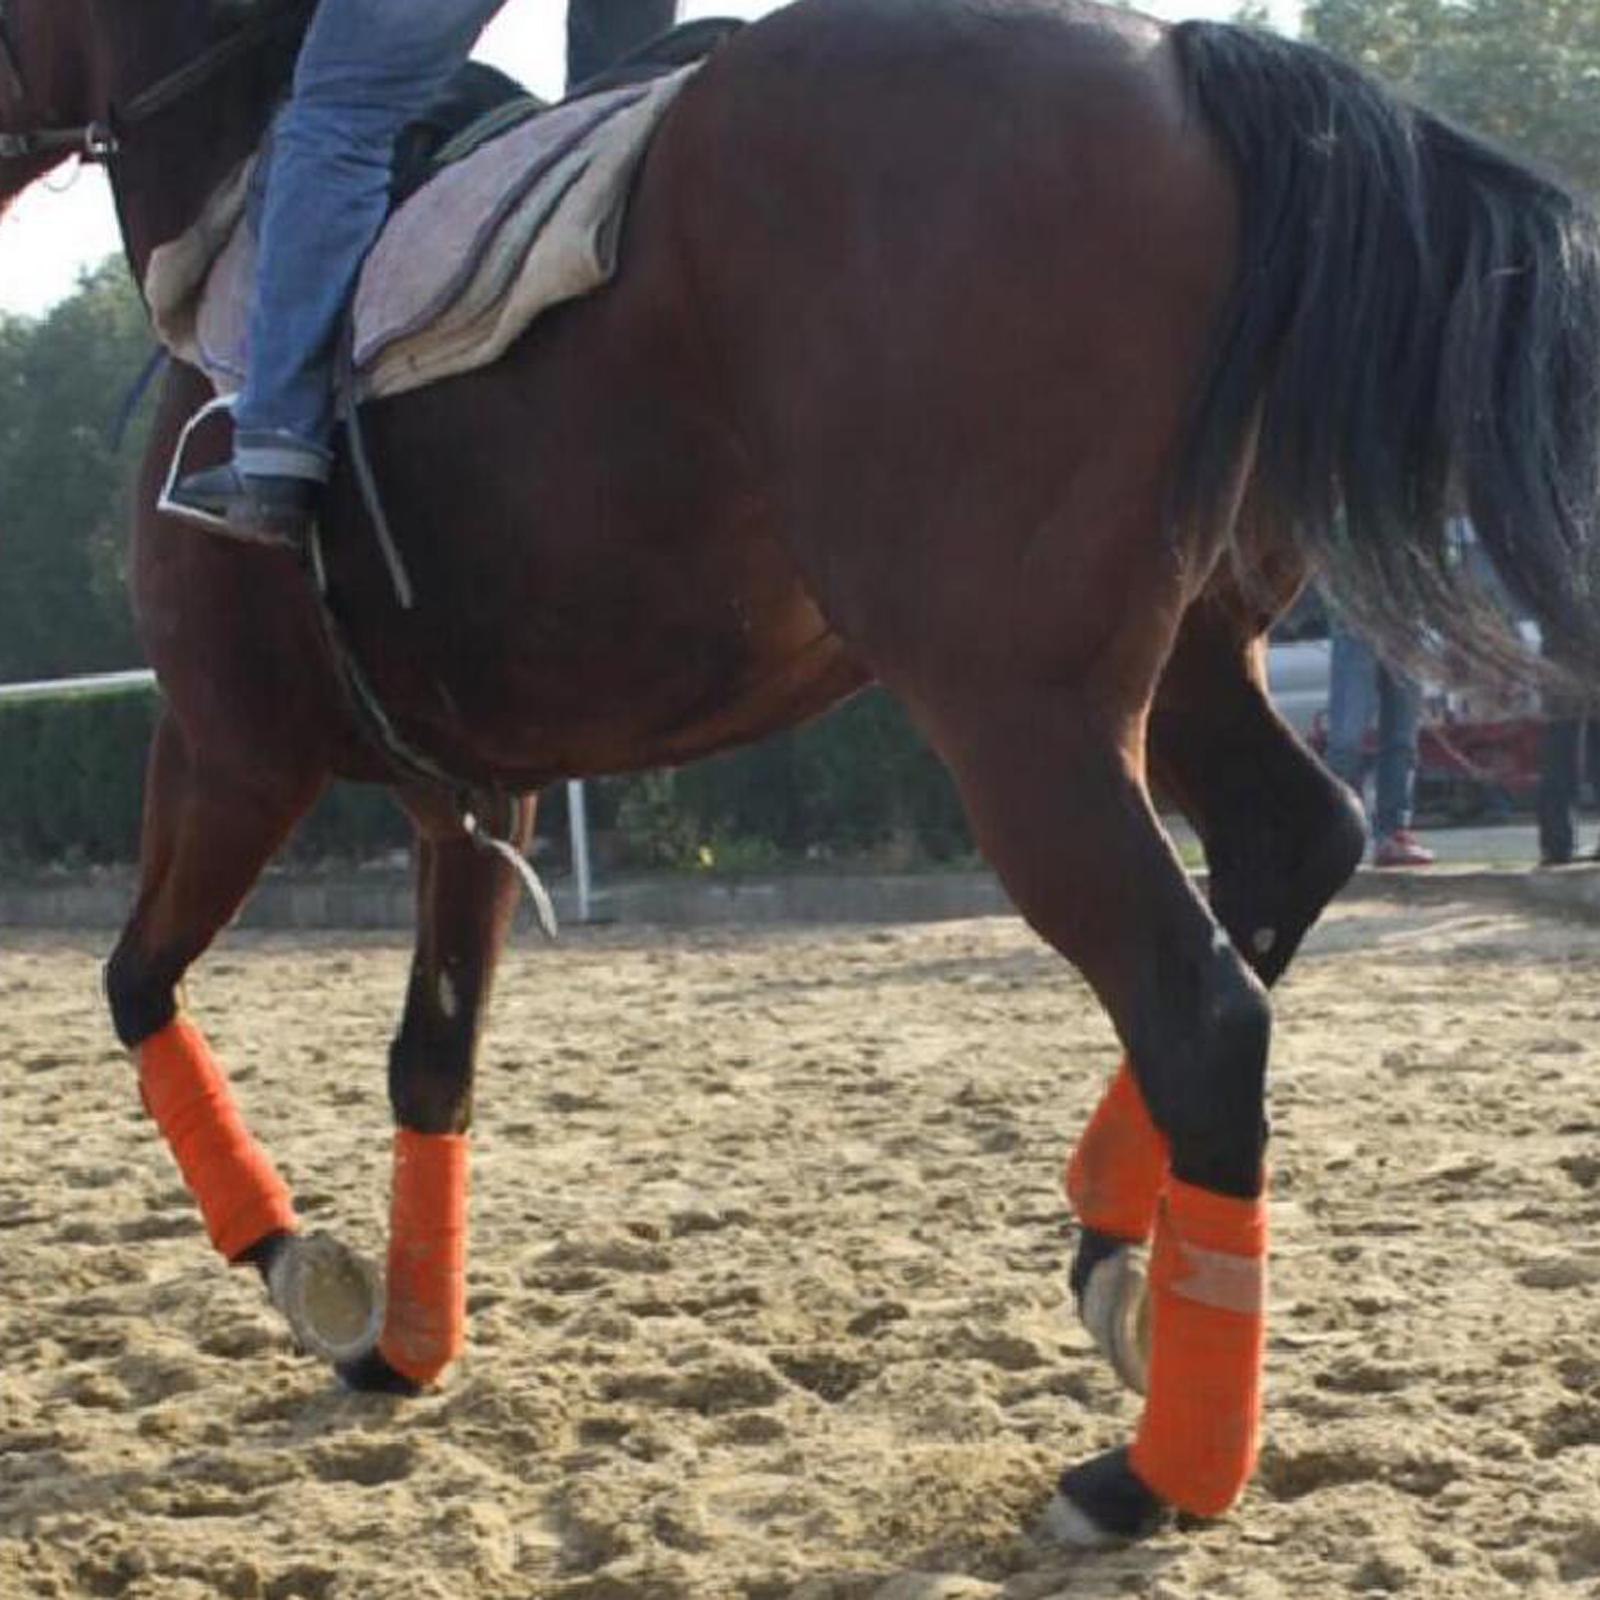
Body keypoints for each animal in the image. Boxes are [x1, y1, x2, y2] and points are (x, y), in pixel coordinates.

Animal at [4, 0, 1599, 1549]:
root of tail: (1179, 61)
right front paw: (405, 1338)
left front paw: (302, 1267)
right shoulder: (468, 791)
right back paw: (1114, 1246)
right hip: (1193, 661)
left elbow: (134, 983)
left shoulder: (228, 745)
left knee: (1199, 1005)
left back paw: (1153, 1474)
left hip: (1017, 707)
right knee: (1293, 842)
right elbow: (429, 1057)